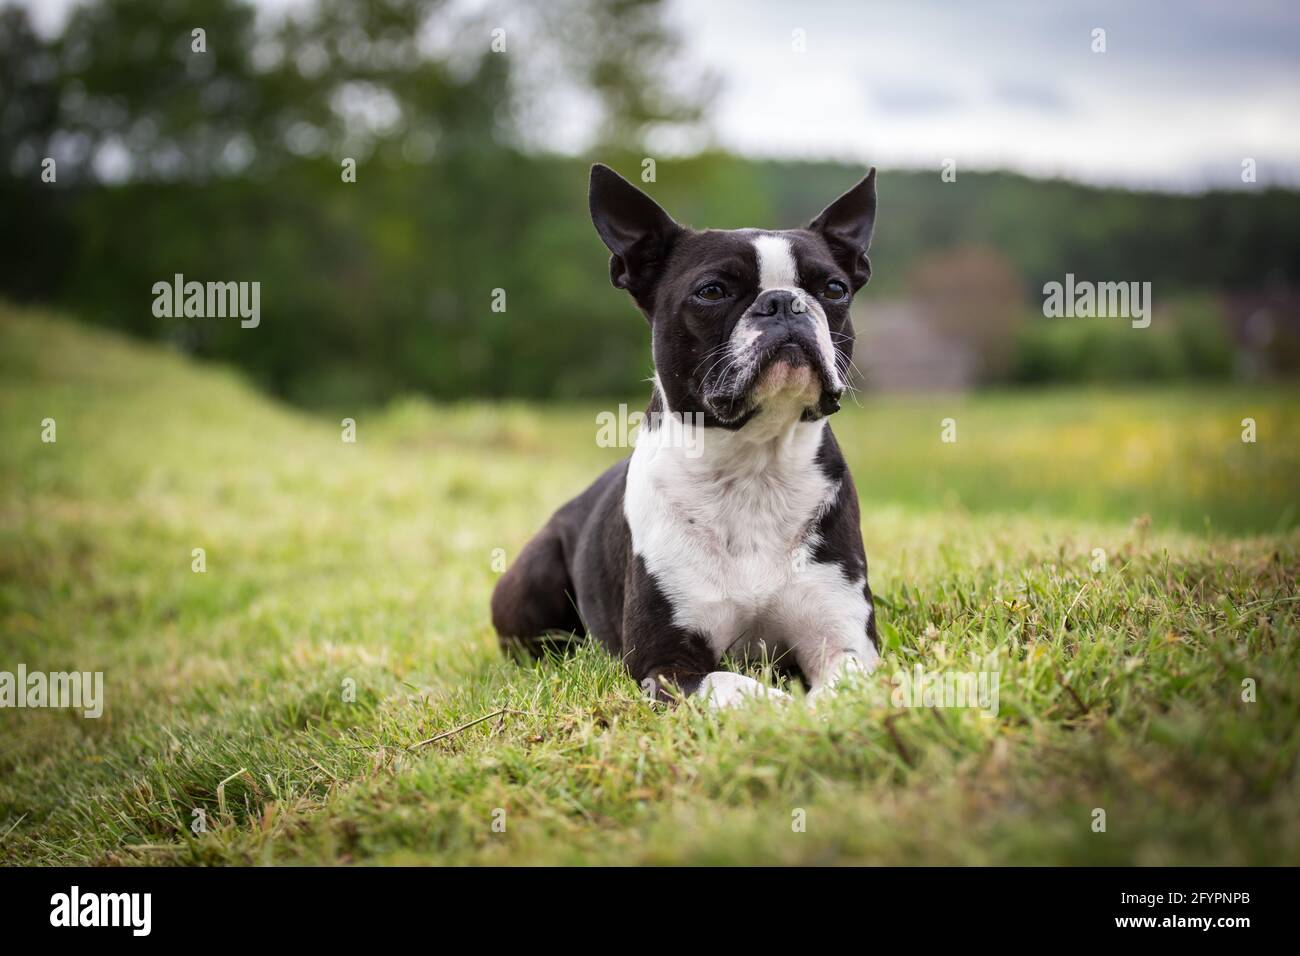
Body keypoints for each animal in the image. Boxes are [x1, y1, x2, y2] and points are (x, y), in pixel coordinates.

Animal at [491, 162, 878, 712]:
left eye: (834, 289)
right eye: (712, 291)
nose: (783, 302)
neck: (753, 465)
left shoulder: (844, 640)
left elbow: (844, 687)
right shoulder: (664, 663)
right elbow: (735, 684)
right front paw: (782, 711)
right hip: (533, 578)